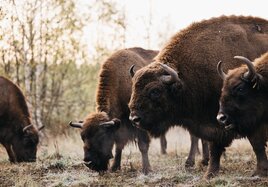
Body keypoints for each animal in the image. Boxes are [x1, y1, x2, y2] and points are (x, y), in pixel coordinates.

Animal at [68, 46, 208, 174]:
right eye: (82, 137)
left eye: (100, 136)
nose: (88, 163)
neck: (120, 81)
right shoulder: (121, 126)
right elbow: (119, 146)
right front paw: (115, 167)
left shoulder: (139, 123)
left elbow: (142, 146)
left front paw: (147, 169)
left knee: (194, 137)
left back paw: (192, 162)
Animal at [127, 15, 268, 178]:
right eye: (134, 87)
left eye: (155, 90)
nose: (134, 119)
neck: (184, 78)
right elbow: (212, 145)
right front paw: (210, 172)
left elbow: (254, 143)